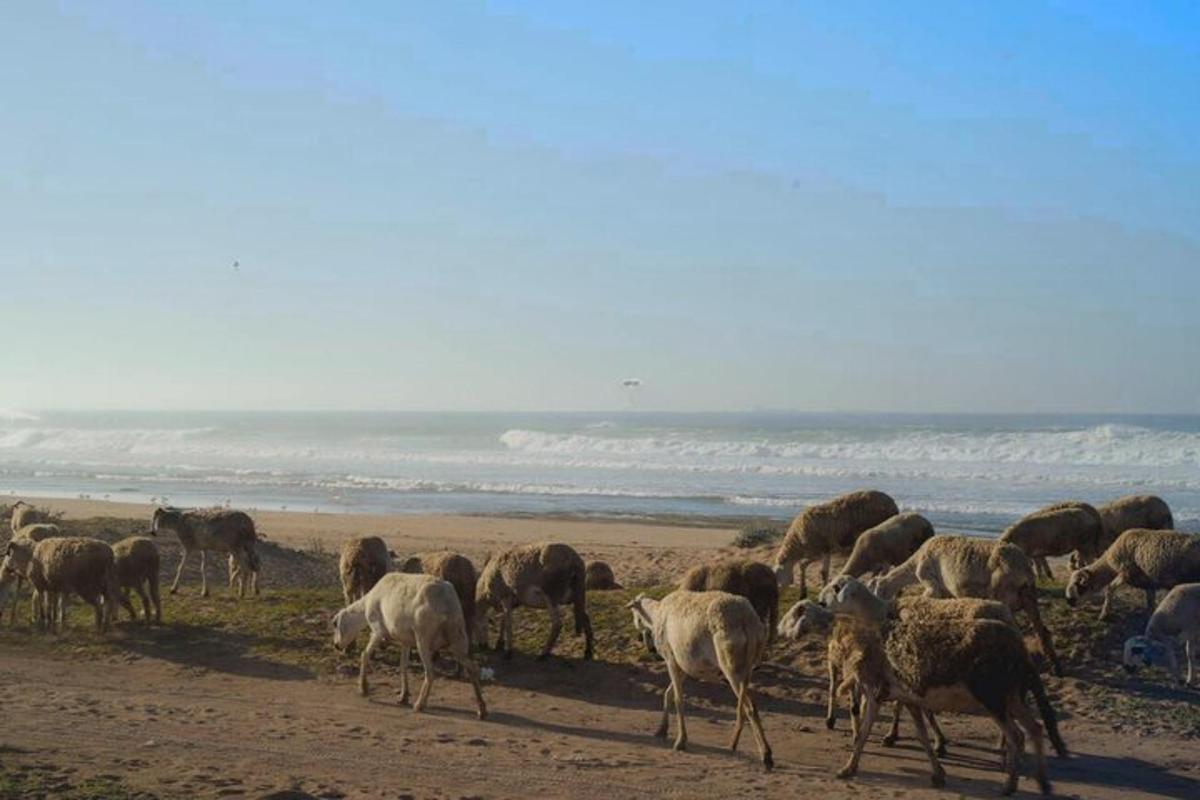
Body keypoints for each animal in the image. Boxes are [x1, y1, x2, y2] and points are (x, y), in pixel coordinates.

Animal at [331, 568, 484, 719]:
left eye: (335, 624)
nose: (336, 646)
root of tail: (446, 601)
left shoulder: (378, 631)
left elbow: (365, 655)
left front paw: (363, 688)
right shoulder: (405, 641)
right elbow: (403, 666)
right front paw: (403, 696)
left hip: (423, 638)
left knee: (430, 672)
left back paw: (419, 705)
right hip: (458, 636)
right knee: (473, 669)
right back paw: (481, 709)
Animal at [624, 592, 772, 772]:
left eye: (634, 614)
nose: (649, 647)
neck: (655, 614)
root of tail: (746, 620)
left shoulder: (671, 659)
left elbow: (678, 699)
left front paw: (680, 742)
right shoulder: (684, 665)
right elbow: (667, 694)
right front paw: (661, 731)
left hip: (731, 665)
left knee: (749, 707)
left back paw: (766, 755)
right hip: (747, 668)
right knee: (745, 707)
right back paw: (733, 745)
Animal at [873, 537, 1060, 676]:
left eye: (877, 591)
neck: (914, 564)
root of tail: (1023, 566)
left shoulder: (929, 580)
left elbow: (928, 600)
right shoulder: (947, 592)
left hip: (1001, 592)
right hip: (1028, 595)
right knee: (1042, 631)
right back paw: (1054, 666)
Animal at [1065, 527, 1200, 623]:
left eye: (1079, 585)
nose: (1069, 602)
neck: (1109, 563)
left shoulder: (1126, 573)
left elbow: (1109, 589)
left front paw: (1104, 615)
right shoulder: (1149, 581)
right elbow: (1150, 602)